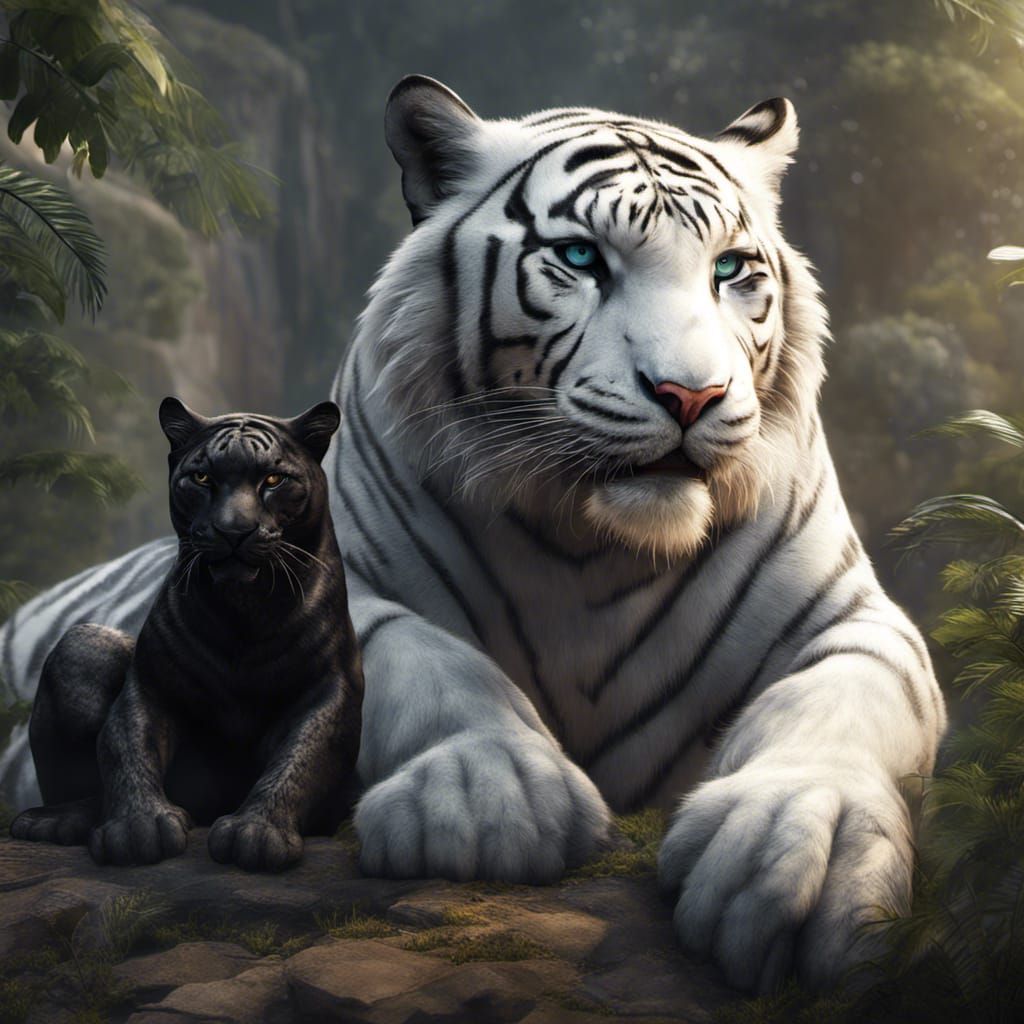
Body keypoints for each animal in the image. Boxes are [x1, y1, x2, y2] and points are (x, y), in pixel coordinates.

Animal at [0, 76, 946, 994]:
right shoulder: (351, 598)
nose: (692, 396)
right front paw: (486, 795)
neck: (601, 549)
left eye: (730, 269)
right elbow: (429, 665)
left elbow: (843, 699)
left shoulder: (852, 618)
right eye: (580, 258)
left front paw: (799, 848)